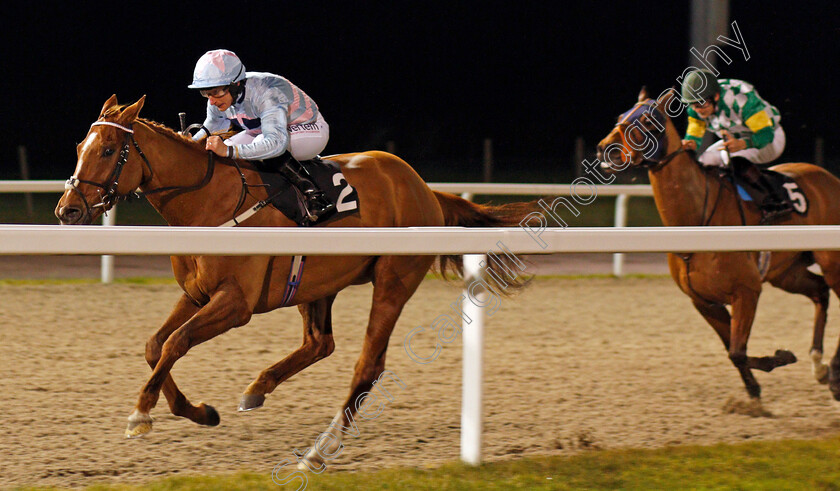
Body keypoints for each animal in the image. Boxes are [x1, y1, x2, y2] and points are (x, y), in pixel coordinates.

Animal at [55, 96, 532, 468]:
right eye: (80, 146)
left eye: (108, 150)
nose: (68, 210)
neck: (208, 201)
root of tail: (423, 188)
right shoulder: (196, 293)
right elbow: (156, 346)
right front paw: (199, 412)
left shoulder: (236, 303)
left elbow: (176, 343)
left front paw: (141, 413)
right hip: (315, 283)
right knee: (320, 343)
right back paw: (257, 389)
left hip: (392, 281)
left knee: (368, 364)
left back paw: (321, 449)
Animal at [596, 87, 840, 404]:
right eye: (620, 117)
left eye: (648, 121)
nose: (605, 149)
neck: (696, 224)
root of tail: (830, 179)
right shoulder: (703, 301)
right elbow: (734, 351)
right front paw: (756, 387)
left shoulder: (747, 290)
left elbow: (737, 351)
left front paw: (778, 360)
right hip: (787, 272)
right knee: (820, 292)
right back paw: (819, 365)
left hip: (831, 262)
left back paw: (833, 376)